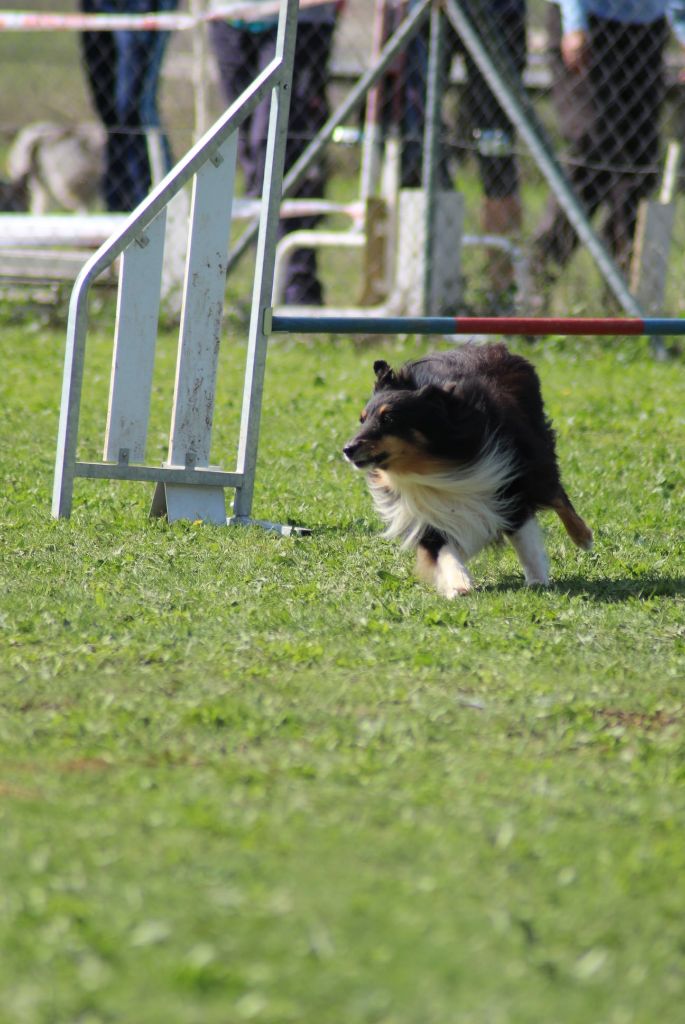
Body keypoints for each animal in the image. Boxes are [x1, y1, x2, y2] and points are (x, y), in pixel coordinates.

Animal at [341, 344, 593, 598]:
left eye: (389, 418)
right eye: (362, 419)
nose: (347, 449)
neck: (434, 468)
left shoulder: (507, 485)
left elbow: (525, 541)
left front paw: (537, 580)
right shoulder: (426, 513)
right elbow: (444, 551)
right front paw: (458, 584)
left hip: (535, 452)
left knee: (556, 493)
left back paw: (583, 537)